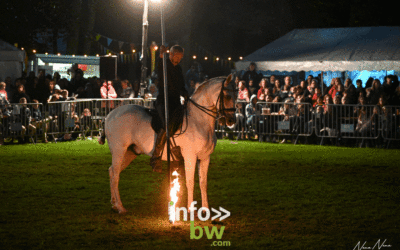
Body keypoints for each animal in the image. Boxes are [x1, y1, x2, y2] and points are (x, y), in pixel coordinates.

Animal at [100, 73, 236, 213]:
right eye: (227, 96)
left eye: (236, 95)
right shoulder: (190, 157)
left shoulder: (205, 157)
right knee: (115, 175)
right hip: (119, 151)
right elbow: (190, 182)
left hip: (130, 153)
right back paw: (120, 207)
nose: (232, 121)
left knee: (112, 172)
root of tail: (109, 115)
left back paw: (114, 204)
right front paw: (190, 209)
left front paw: (205, 210)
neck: (199, 120)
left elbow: (203, 183)